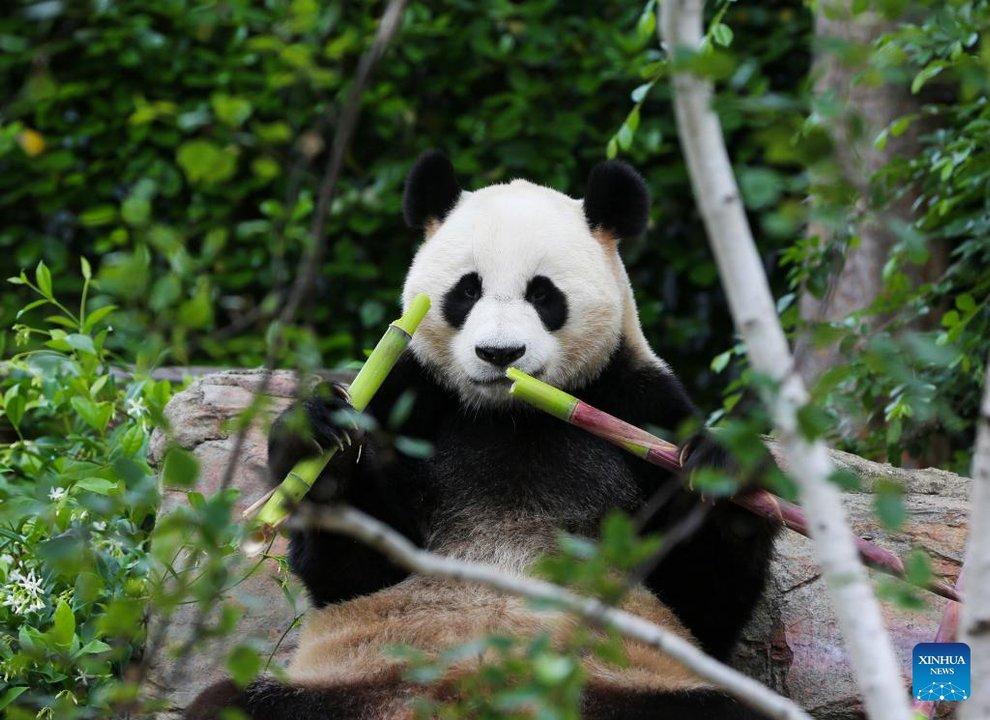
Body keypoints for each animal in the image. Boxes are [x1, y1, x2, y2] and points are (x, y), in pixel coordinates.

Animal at [185, 151, 779, 720]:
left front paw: (728, 475)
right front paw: (322, 450)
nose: (499, 354)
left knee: (721, 708)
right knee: (229, 703)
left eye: (543, 295)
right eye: (467, 290)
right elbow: (350, 573)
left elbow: (700, 599)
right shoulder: (406, 395)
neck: (509, 415)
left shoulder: (641, 406)